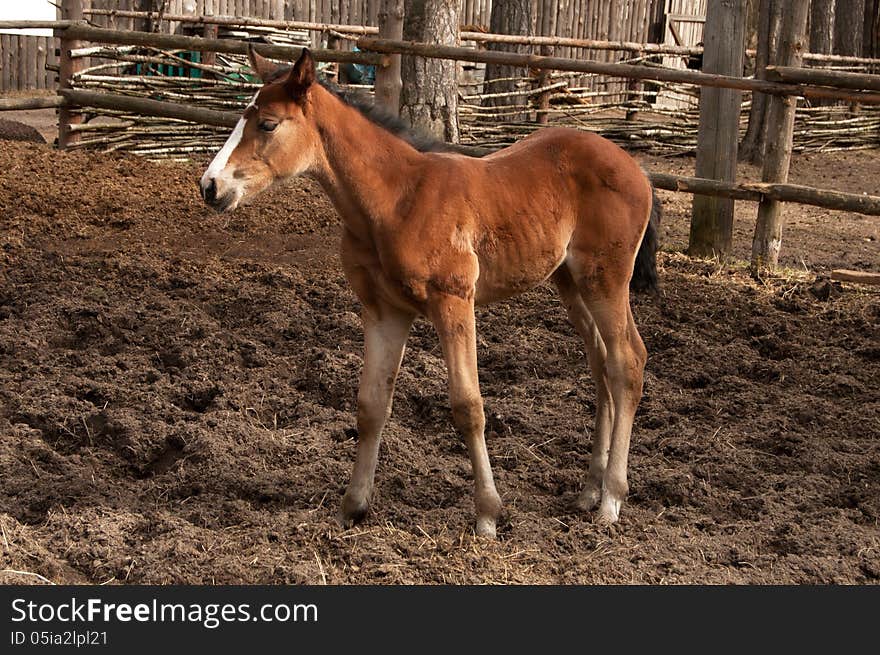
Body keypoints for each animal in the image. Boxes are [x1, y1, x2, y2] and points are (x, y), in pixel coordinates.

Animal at [196, 47, 656, 540]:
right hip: (569, 282)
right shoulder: (384, 311)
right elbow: (371, 405)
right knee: (601, 364)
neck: (396, 200)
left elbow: (467, 405)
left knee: (627, 360)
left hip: (605, 278)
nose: (210, 186)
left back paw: (611, 498)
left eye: (267, 124)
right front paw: (352, 507)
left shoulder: (453, 300)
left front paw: (488, 515)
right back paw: (589, 490)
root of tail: (636, 168)